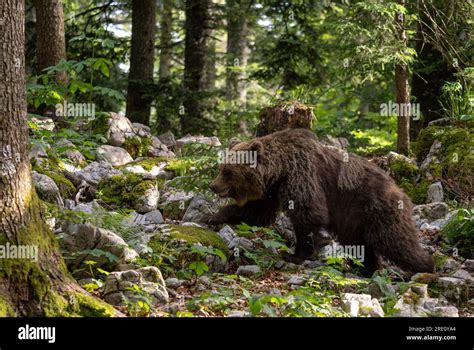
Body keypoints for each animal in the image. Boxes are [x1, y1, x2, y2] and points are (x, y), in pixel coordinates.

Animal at [209, 127, 436, 274]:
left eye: (227, 171)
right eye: (221, 168)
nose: (213, 186)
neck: (280, 171)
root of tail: (400, 191)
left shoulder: (303, 177)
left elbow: (308, 214)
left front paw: (295, 254)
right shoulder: (271, 192)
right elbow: (256, 214)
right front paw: (212, 217)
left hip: (378, 209)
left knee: (396, 241)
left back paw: (426, 267)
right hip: (355, 221)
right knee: (359, 245)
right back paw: (365, 269)